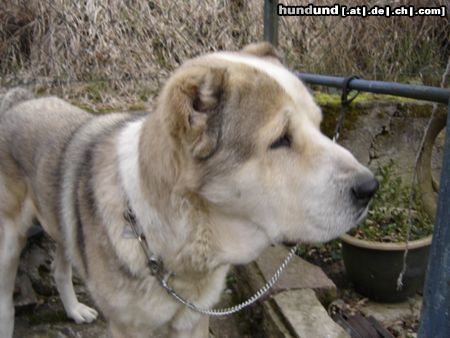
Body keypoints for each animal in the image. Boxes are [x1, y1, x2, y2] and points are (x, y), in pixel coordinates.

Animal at [0, 43, 378, 336]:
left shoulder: (194, 320)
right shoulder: (129, 328)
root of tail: (19, 100)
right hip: (8, 242)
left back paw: (75, 310)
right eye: (280, 139)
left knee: (61, 265)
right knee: (7, 302)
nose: (371, 187)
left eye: (319, 125)